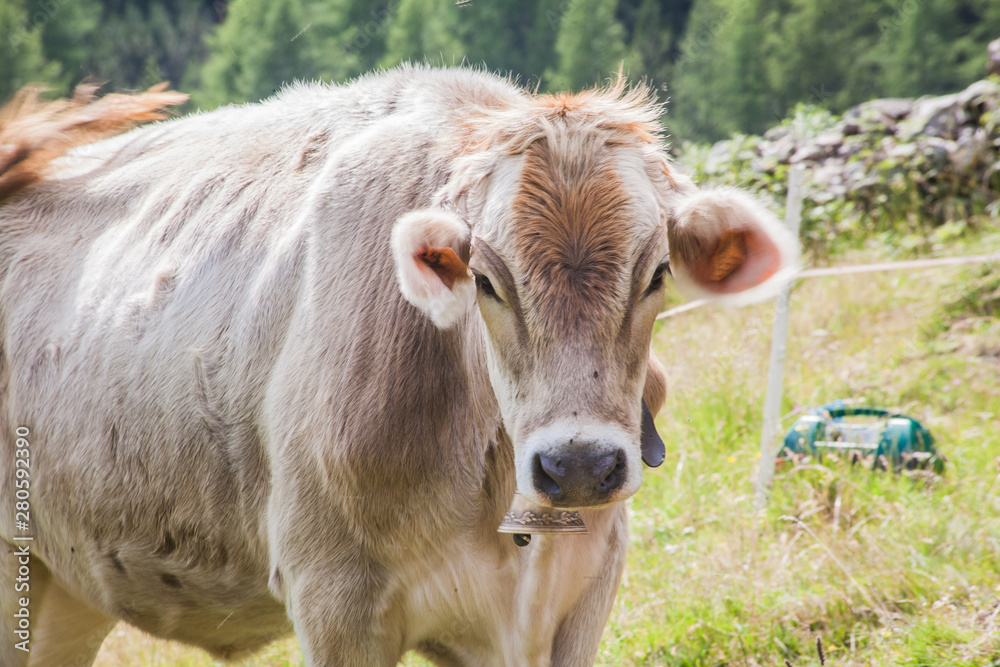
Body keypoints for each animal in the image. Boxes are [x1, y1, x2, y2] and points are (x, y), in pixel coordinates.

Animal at [0, 65, 796, 664]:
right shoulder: (333, 597)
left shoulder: (580, 597)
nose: (577, 465)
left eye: (657, 272)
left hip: (69, 584)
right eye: (486, 280)